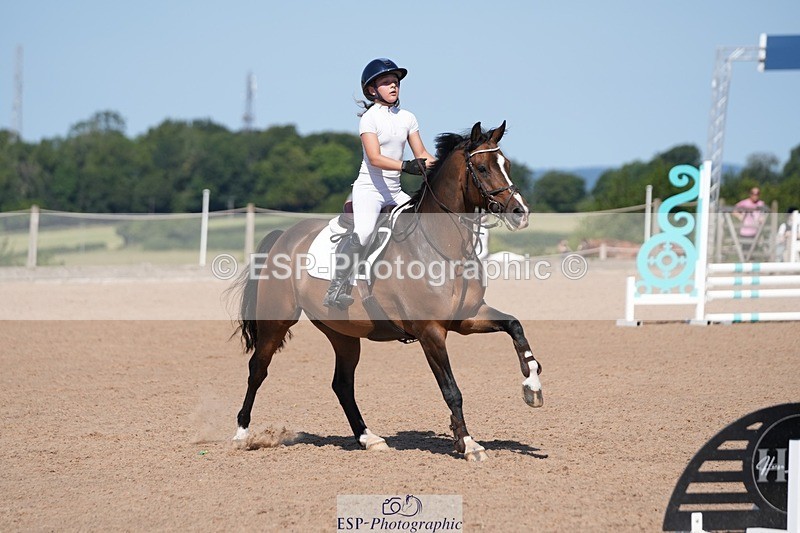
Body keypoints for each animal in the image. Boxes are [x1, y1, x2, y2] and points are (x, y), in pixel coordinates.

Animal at [231, 121, 543, 461]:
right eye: (483, 168)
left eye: (507, 165)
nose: (520, 212)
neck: (443, 247)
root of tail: (284, 235)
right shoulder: (431, 331)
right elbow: (451, 389)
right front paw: (468, 443)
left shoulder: (467, 318)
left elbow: (515, 326)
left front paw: (532, 386)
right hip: (277, 320)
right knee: (257, 369)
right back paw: (241, 434)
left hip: (342, 332)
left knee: (342, 384)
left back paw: (368, 438)